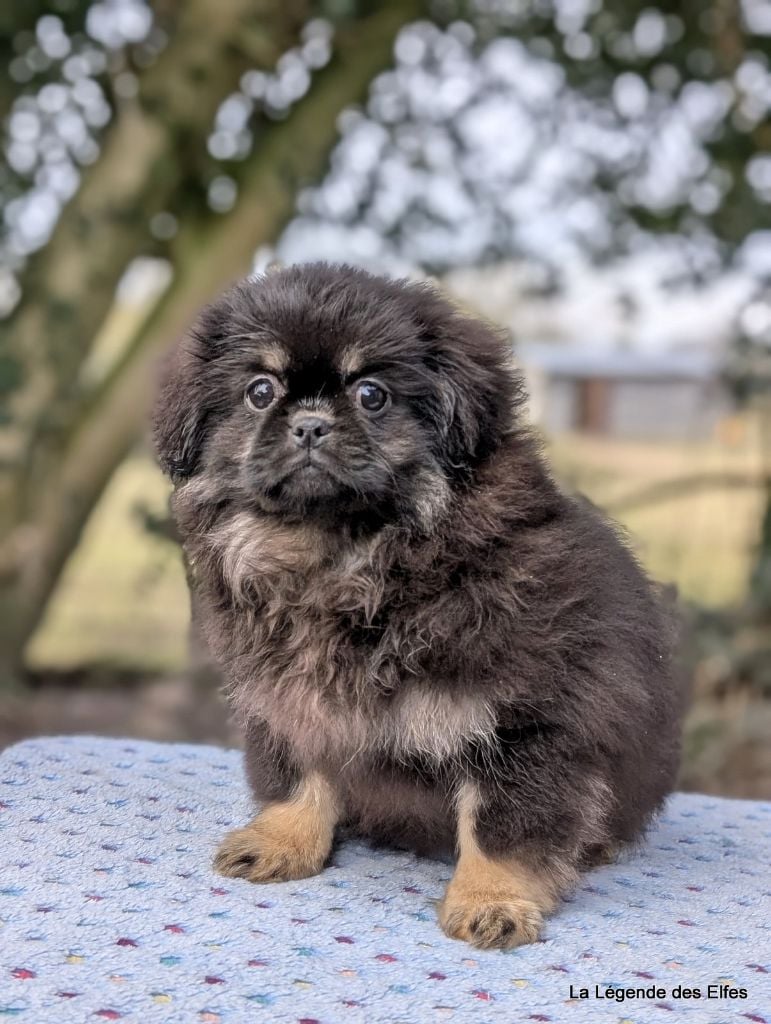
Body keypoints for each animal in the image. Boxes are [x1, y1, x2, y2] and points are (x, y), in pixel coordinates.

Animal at [153, 264, 683, 950]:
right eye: (260, 392)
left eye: (372, 395)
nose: (310, 424)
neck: (343, 560)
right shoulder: (290, 702)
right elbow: (299, 777)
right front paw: (282, 843)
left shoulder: (525, 721)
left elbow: (500, 823)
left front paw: (491, 902)